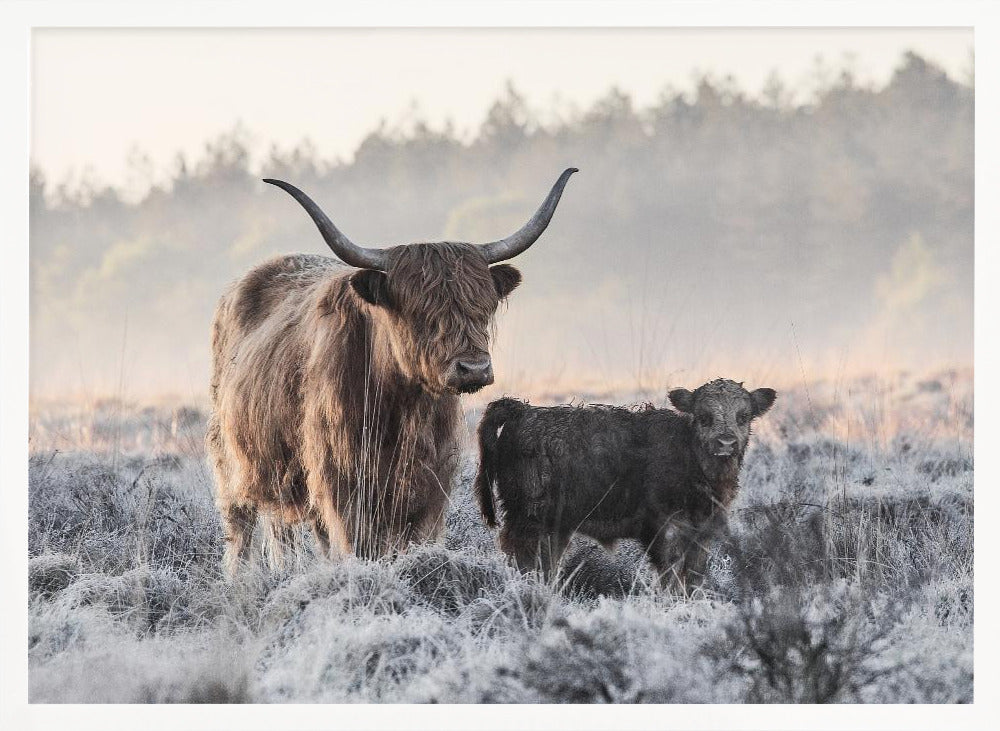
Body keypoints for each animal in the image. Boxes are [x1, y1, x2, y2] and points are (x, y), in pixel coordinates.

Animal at [207, 168, 578, 575]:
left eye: (483, 307)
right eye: (419, 312)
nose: (474, 368)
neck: (403, 408)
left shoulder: (432, 488)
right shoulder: (342, 485)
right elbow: (358, 546)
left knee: (283, 530)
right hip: (231, 462)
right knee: (241, 530)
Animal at [474, 379, 776, 594]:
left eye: (743, 416)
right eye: (703, 416)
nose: (726, 442)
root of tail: (523, 411)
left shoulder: (702, 532)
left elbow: (693, 577)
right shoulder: (665, 529)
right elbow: (671, 575)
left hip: (555, 528)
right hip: (529, 519)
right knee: (524, 559)